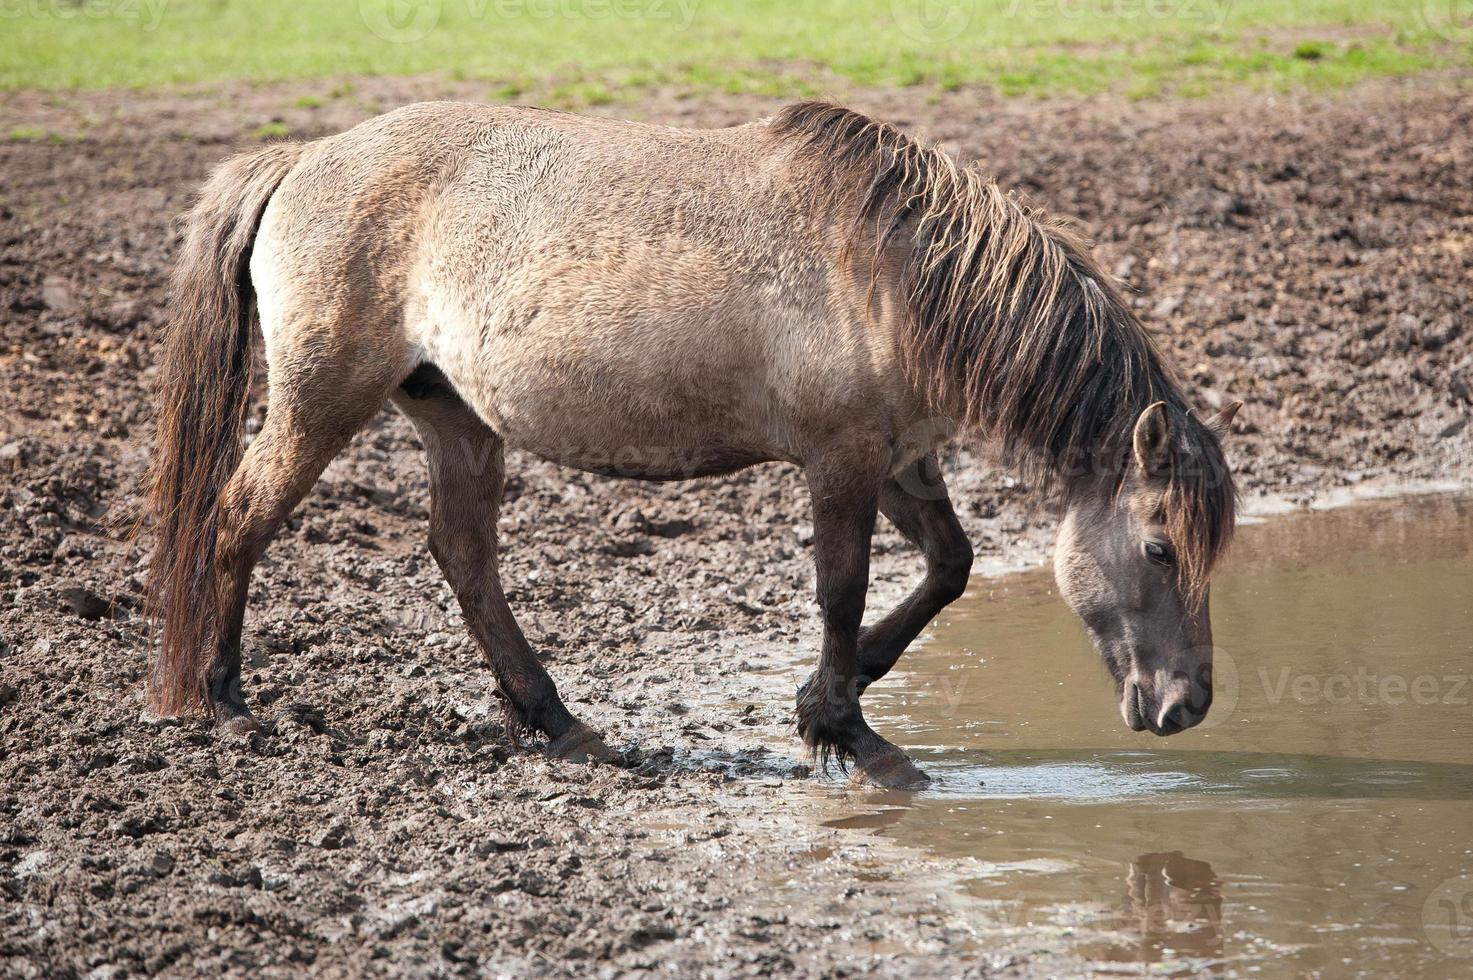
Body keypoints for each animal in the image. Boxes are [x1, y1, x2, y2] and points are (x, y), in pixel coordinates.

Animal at [143, 99, 1237, 789]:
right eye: (1158, 547)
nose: (1187, 705)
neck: (891, 272)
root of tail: (301, 158)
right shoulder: (839, 462)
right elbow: (841, 590)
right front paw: (857, 737)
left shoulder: (897, 459)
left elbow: (949, 567)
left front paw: (833, 695)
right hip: (319, 403)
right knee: (237, 520)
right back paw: (229, 703)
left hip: (458, 420)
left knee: (464, 556)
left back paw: (559, 723)